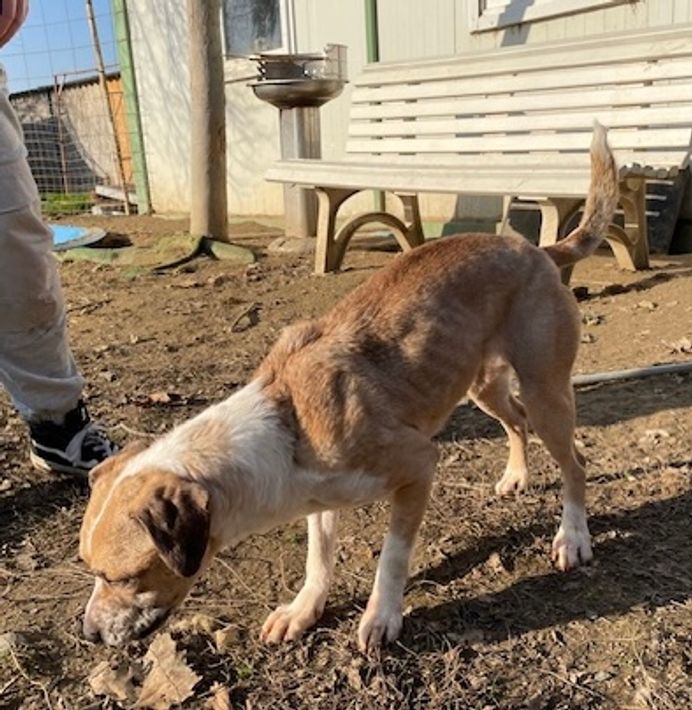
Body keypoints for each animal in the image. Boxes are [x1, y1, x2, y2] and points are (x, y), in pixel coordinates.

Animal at [79, 123, 618, 650]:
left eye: (123, 577)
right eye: (90, 569)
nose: (89, 634)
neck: (284, 425)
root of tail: (536, 250)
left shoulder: (418, 465)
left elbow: (392, 558)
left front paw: (382, 616)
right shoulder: (321, 502)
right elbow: (318, 559)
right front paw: (303, 609)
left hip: (546, 391)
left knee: (575, 462)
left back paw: (572, 537)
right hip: (482, 388)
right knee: (516, 423)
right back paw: (516, 476)